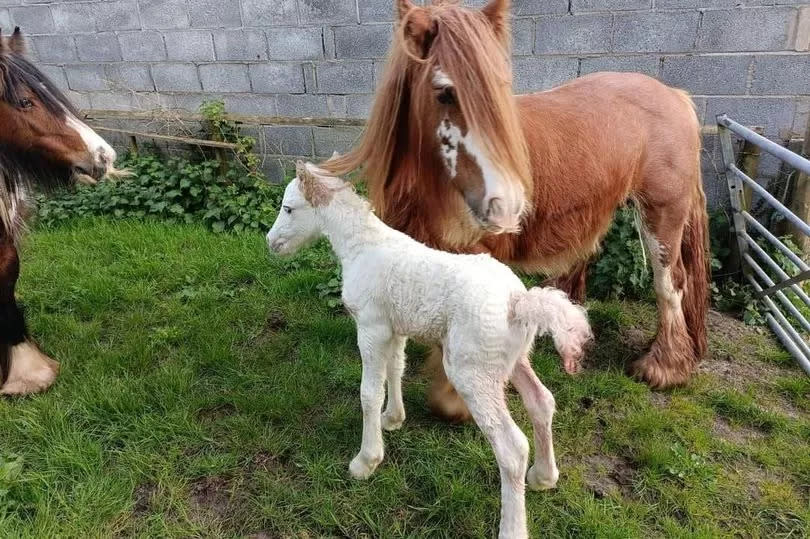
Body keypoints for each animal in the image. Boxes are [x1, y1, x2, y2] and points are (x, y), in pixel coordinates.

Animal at [268, 161, 592, 539]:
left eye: (289, 208)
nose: (271, 243)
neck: (361, 247)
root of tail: (519, 302)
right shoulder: (394, 328)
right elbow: (396, 368)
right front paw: (393, 419)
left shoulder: (371, 327)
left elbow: (368, 393)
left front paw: (366, 460)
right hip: (511, 360)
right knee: (541, 401)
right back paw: (543, 476)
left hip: (471, 370)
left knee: (511, 448)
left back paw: (512, 527)